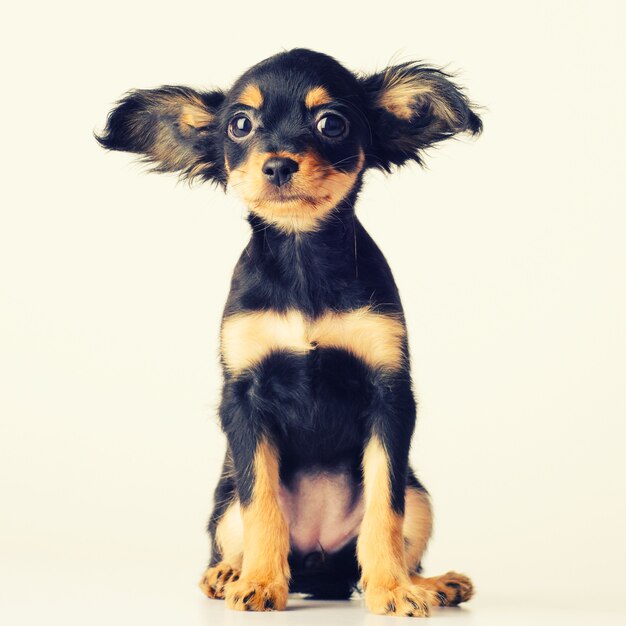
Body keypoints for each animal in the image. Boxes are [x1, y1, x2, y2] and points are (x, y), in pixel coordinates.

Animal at [97, 47, 480, 616]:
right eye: (239, 124)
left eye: (331, 123)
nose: (277, 163)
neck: (302, 256)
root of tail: (320, 570)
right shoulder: (244, 399)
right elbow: (262, 503)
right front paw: (259, 582)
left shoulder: (389, 395)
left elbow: (383, 510)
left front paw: (392, 590)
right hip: (224, 500)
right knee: (233, 530)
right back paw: (228, 573)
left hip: (421, 497)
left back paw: (430, 583)